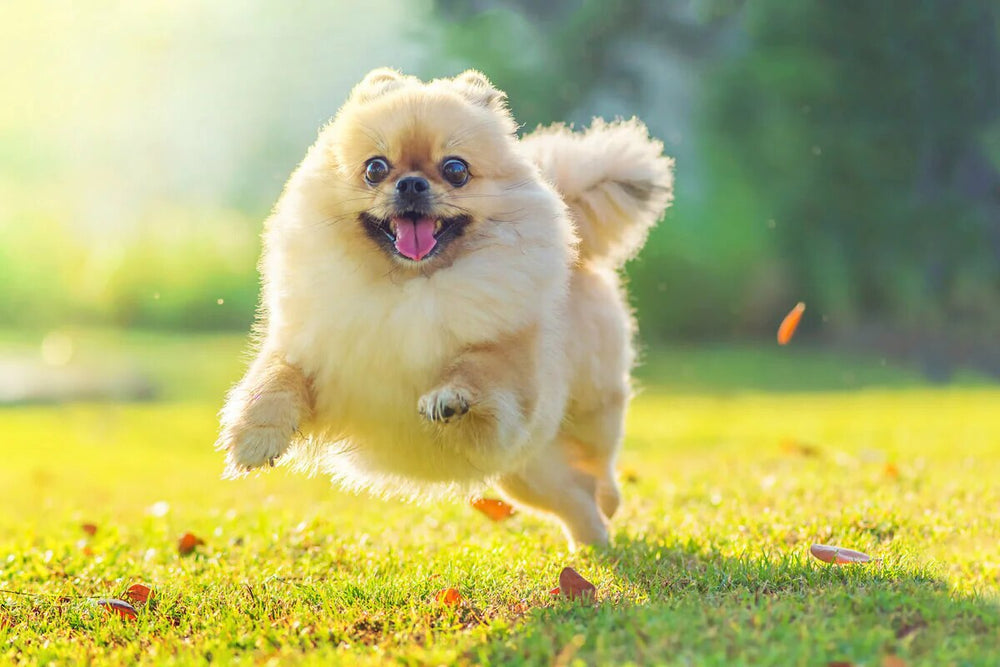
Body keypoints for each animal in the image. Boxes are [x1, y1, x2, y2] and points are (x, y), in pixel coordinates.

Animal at [217, 69, 672, 548]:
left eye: (456, 170)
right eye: (375, 168)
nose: (411, 183)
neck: (407, 288)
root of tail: (579, 247)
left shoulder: (511, 378)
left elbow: (479, 370)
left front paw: (448, 398)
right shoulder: (312, 354)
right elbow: (271, 384)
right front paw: (254, 440)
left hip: (585, 414)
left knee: (599, 463)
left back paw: (610, 503)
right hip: (526, 473)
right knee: (574, 497)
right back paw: (594, 541)